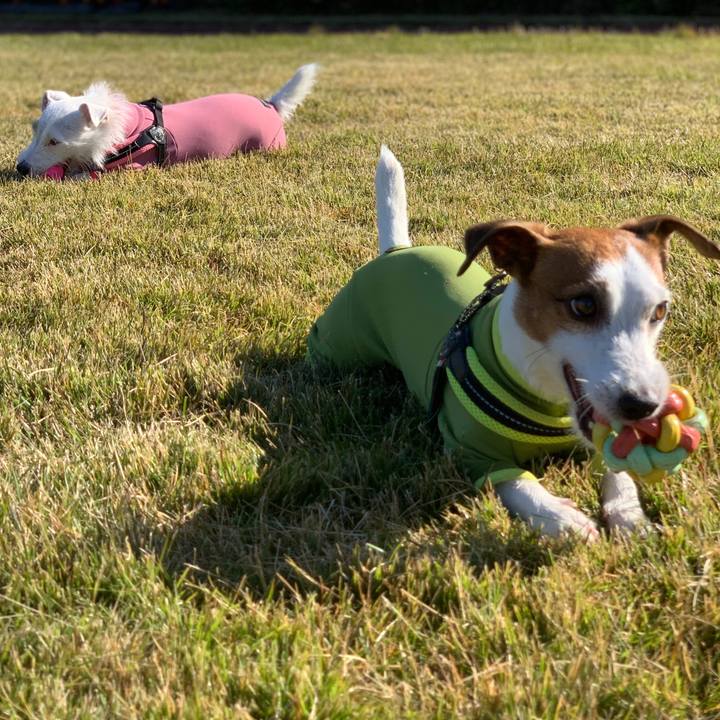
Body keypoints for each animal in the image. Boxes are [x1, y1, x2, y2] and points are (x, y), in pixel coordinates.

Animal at [16, 64, 318, 179]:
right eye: (35, 132)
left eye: (55, 142)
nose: (20, 168)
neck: (127, 129)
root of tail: (270, 104)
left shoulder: (134, 168)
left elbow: (82, 176)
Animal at [307, 146, 720, 540]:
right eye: (583, 305)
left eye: (660, 310)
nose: (643, 405)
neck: (545, 397)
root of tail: (397, 250)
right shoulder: (470, 451)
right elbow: (518, 484)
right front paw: (559, 518)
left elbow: (616, 471)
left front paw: (630, 517)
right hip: (341, 342)